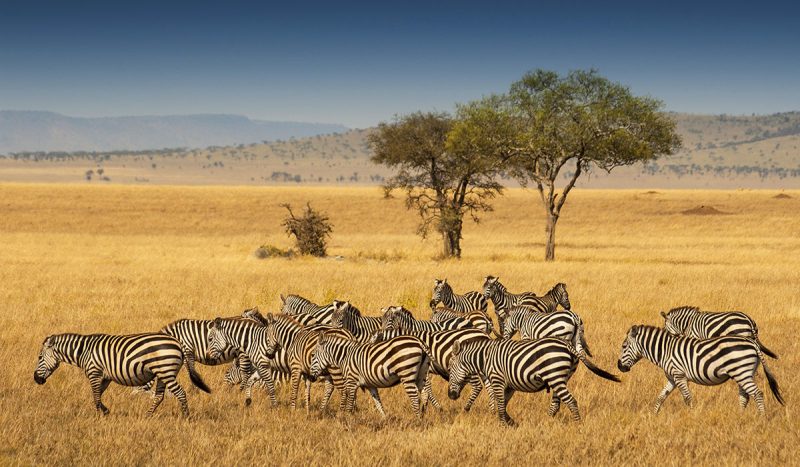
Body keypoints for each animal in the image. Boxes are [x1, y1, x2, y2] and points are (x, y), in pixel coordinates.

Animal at [34, 332, 211, 417]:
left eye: (40, 357)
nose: (36, 379)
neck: (84, 351)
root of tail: (178, 343)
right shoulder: (104, 377)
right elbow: (98, 396)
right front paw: (104, 411)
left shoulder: (94, 372)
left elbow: (96, 396)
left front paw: (100, 415)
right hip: (162, 373)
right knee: (159, 396)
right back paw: (147, 416)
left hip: (165, 371)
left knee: (180, 393)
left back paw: (186, 417)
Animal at [447, 337, 620, 425]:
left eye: (449, 369)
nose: (450, 395)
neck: (485, 357)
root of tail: (567, 344)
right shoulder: (509, 385)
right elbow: (503, 404)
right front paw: (511, 423)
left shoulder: (497, 379)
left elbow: (501, 405)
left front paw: (502, 425)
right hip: (560, 377)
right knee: (556, 403)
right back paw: (546, 422)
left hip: (555, 376)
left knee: (570, 401)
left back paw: (578, 425)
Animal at [616, 325, 784, 415]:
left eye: (624, 346)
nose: (619, 366)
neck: (665, 350)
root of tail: (752, 343)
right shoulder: (672, 378)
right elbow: (661, 397)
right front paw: (654, 415)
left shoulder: (679, 375)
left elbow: (687, 398)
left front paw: (691, 415)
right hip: (743, 373)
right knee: (745, 396)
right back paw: (740, 416)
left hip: (741, 372)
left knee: (757, 393)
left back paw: (761, 417)